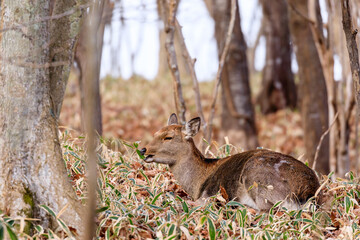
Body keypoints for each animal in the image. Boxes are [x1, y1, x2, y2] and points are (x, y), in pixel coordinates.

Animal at [141, 113, 320, 209]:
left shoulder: (208, 195)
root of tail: (308, 191)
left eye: (168, 137)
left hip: (258, 179)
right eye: (155, 132)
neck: (198, 182)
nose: (143, 150)